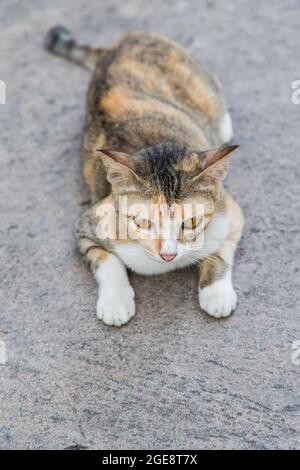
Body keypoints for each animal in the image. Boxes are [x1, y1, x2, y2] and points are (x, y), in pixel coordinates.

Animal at [46, 25, 244, 326]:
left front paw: (216, 293)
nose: (169, 254)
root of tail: (122, 41)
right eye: (142, 222)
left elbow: (222, 248)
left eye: (192, 221)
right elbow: (106, 260)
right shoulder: (88, 223)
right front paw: (115, 301)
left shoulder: (231, 211)